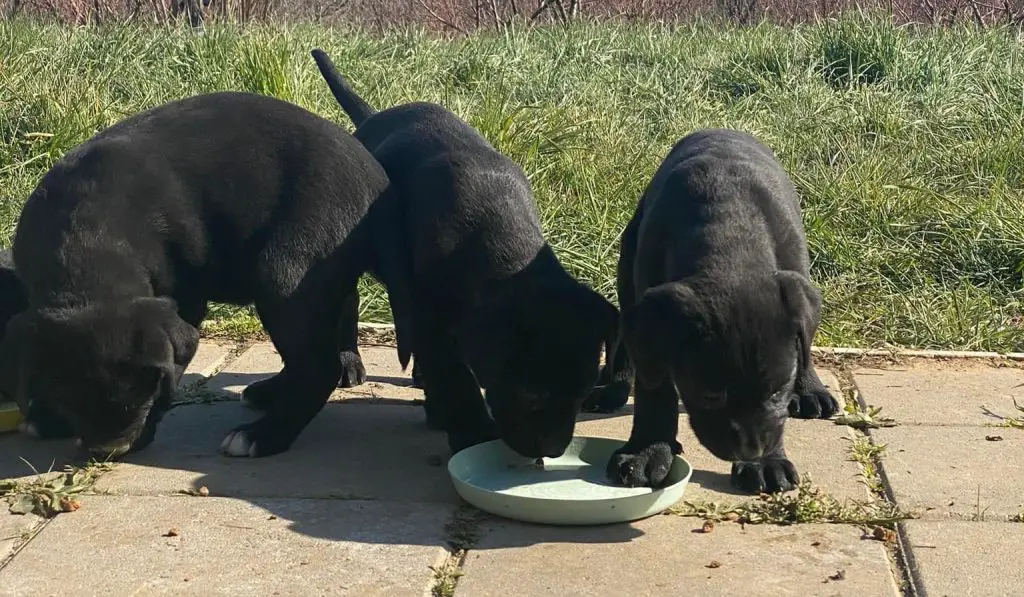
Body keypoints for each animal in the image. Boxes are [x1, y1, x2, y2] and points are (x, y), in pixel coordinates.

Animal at [0, 91, 407, 460]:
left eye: (144, 393)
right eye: (72, 396)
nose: (110, 450)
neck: (87, 243)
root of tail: (376, 174)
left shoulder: (184, 300)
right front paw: (51, 418)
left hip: (286, 272)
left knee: (317, 365)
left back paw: (265, 435)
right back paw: (271, 393)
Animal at [309, 50, 614, 458]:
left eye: (583, 394)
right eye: (531, 395)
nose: (551, 449)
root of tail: (373, 117)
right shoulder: (426, 314)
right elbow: (456, 378)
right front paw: (473, 432)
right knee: (347, 300)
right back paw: (348, 363)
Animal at [602, 131, 835, 495]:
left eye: (777, 391)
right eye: (710, 395)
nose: (752, 451)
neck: (730, 238)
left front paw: (767, 462)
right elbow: (655, 391)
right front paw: (648, 451)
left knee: (805, 349)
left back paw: (812, 390)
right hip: (628, 268)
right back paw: (615, 386)